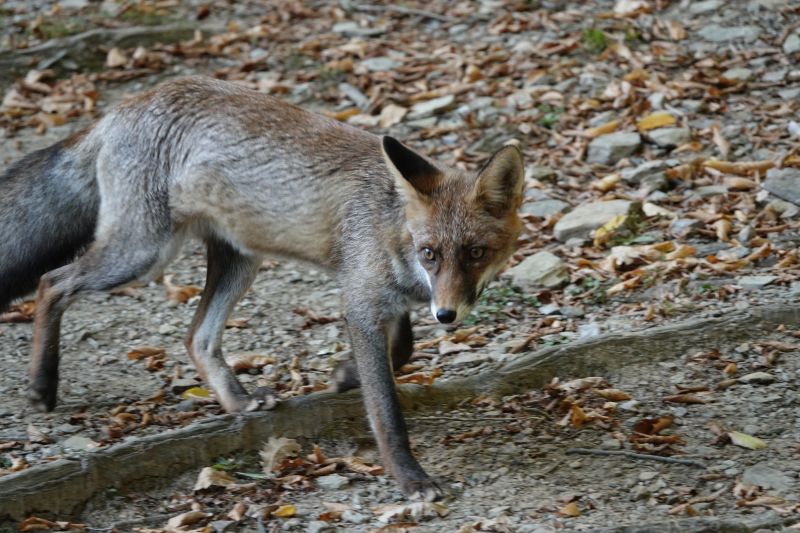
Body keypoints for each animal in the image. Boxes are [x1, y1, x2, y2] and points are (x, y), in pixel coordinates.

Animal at [0, 77, 524, 500]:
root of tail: (121, 108)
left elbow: (403, 349)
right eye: (430, 253)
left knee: (196, 338)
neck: (389, 226)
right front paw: (410, 478)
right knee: (51, 283)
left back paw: (237, 401)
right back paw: (41, 385)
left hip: (238, 262)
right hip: (140, 256)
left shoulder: (386, 301)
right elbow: (386, 410)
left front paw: (345, 374)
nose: (447, 316)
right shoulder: (360, 301)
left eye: (475, 253)